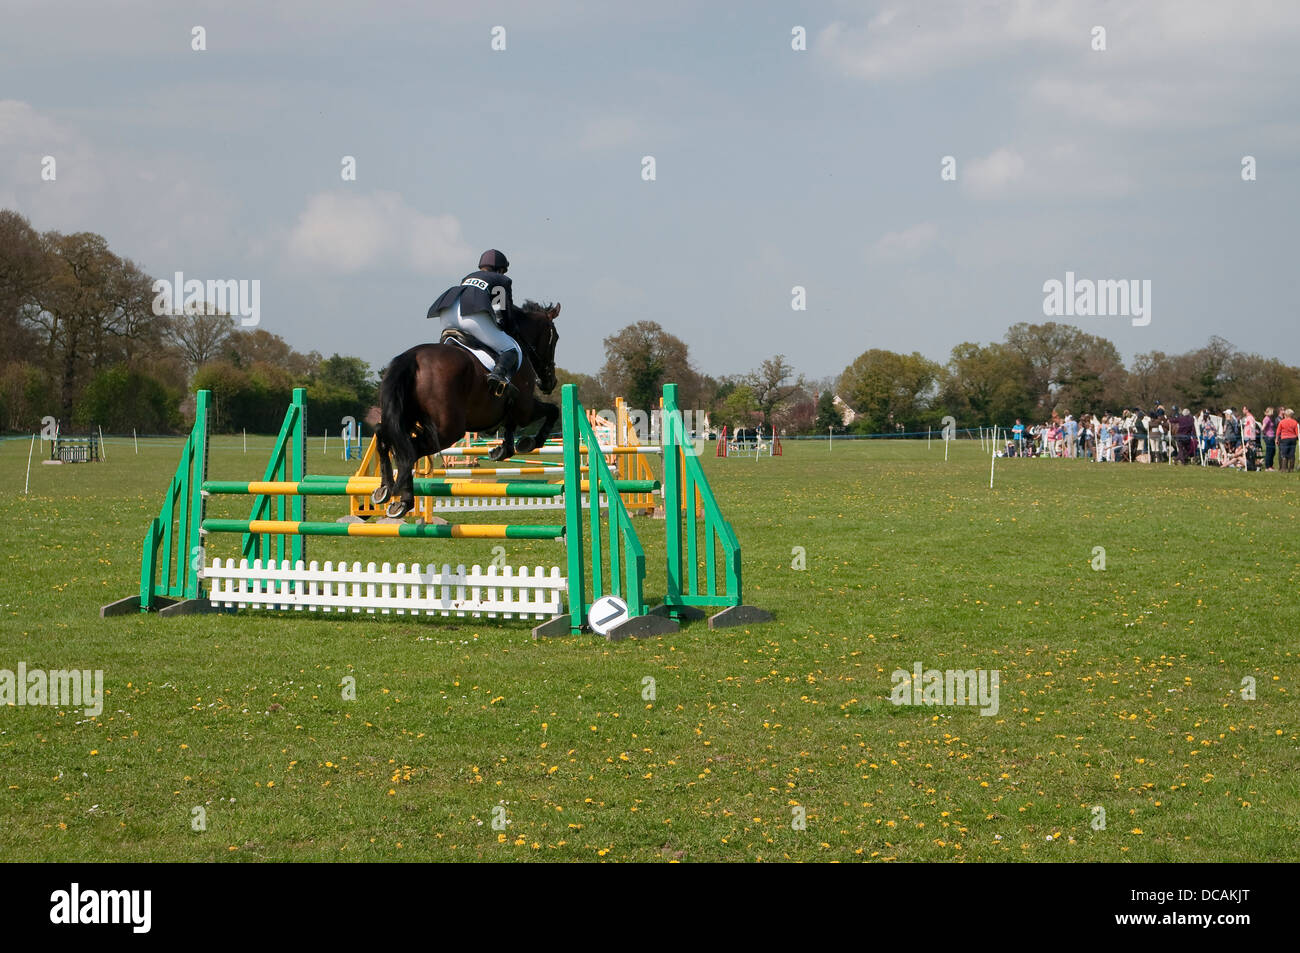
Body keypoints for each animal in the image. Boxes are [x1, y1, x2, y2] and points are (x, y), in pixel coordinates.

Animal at [366, 301, 559, 517]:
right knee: (410, 452)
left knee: (384, 436)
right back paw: (404, 500)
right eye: (554, 339)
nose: (549, 382)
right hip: (449, 430)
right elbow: (553, 410)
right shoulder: (525, 409)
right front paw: (530, 442)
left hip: (405, 417)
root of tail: (411, 357)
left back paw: (385, 489)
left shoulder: (513, 409)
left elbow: (511, 425)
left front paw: (503, 450)